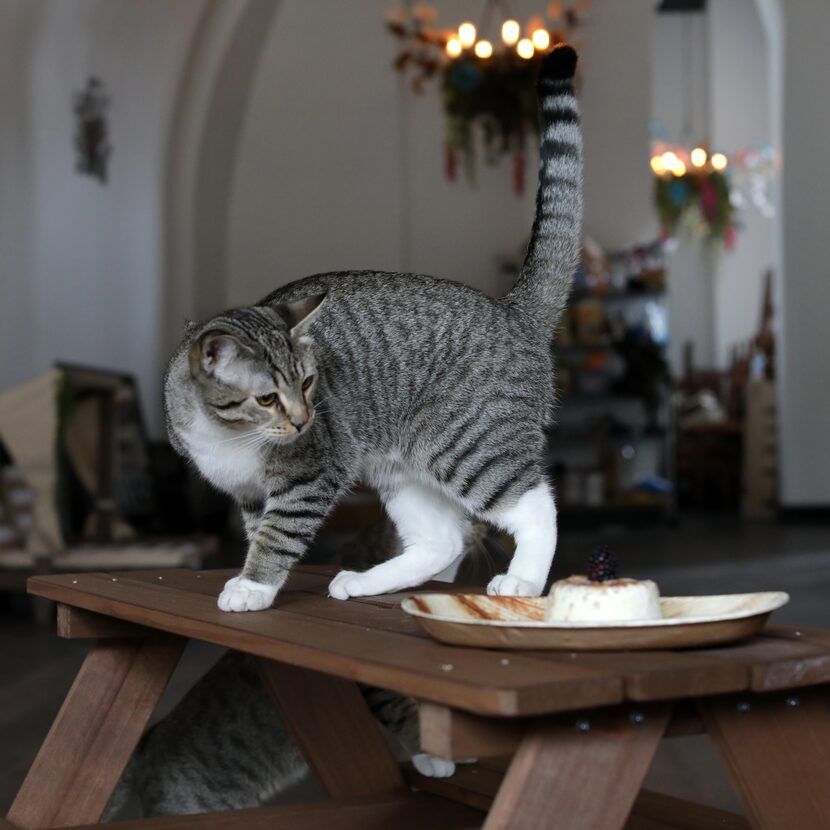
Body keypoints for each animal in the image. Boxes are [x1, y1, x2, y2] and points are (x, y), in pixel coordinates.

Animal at [161, 47, 580, 616]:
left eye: (308, 384)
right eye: (268, 398)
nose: (304, 420)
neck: (228, 435)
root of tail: (511, 308)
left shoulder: (310, 474)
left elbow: (277, 535)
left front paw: (252, 586)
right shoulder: (248, 494)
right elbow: (256, 532)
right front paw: (250, 574)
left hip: (466, 442)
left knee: (536, 504)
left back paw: (523, 581)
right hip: (401, 468)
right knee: (442, 540)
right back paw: (363, 582)